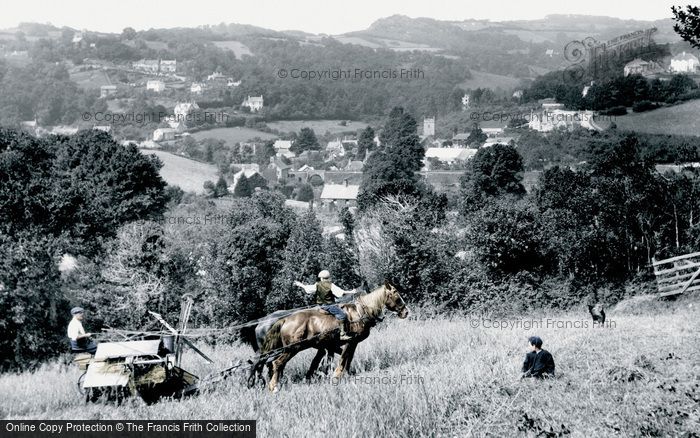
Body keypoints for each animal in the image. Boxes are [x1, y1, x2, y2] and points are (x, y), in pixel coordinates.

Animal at [260, 282, 408, 392]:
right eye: (396, 294)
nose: (406, 312)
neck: (360, 312)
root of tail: (284, 320)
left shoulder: (348, 344)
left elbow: (348, 358)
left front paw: (346, 374)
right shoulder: (350, 341)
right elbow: (343, 358)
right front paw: (337, 376)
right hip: (292, 348)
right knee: (277, 363)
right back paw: (274, 387)